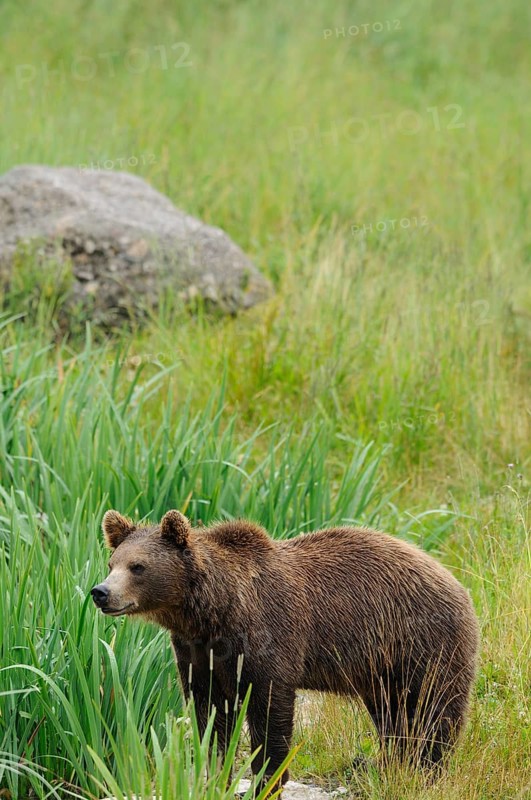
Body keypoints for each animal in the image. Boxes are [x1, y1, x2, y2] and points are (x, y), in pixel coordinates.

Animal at [91, 510, 479, 789]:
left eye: (137, 566)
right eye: (112, 563)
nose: (101, 592)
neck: (213, 612)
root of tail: (456, 582)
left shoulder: (268, 636)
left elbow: (269, 712)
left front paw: (267, 778)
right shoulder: (197, 652)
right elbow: (211, 714)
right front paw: (214, 773)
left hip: (422, 643)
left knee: (435, 710)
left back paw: (427, 770)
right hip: (381, 669)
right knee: (393, 716)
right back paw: (393, 765)